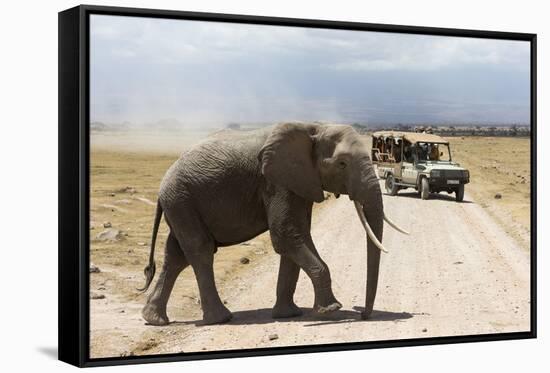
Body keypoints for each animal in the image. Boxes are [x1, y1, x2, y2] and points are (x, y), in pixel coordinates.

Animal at [140, 120, 408, 324]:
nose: (363, 314)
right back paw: (221, 319)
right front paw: (330, 310)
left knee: (176, 256)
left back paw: (154, 319)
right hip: (181, 199)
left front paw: (289, 314)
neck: (315, 127)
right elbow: (285, 235)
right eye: (342, 164)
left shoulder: (300, 182)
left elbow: (298, 234)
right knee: (200, 250)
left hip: (181, 203)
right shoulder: (275, 181)